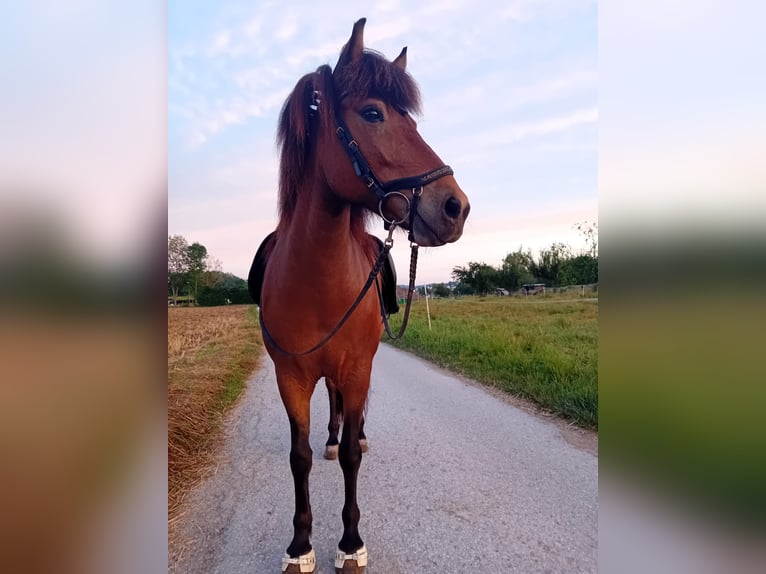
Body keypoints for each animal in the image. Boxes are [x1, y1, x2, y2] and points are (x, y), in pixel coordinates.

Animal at [252, 19, 472, 574]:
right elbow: (301, 457)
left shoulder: (357, 367)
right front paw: (300, 545)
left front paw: (350, 543)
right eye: (373, 113)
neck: (317, 279)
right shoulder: (291, 377)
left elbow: (352, 453)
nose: (455, 207)